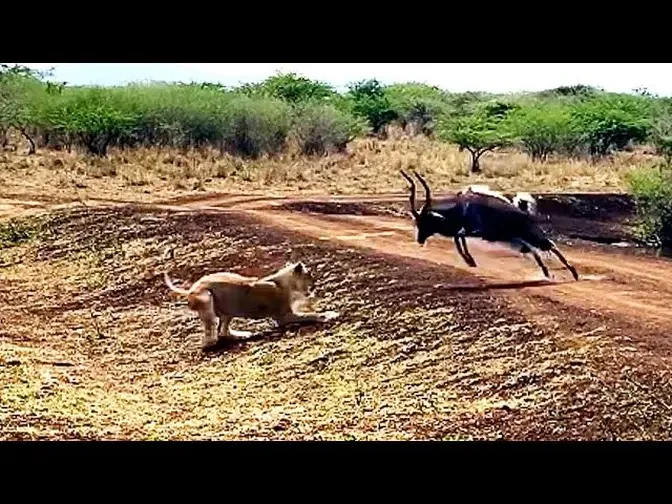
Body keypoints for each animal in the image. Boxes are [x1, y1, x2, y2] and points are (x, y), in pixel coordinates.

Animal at [400, 168, 576, 280]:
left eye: (426, 220)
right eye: (418, 222)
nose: (420, 240)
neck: (461, 208)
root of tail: (524, 212)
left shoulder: (474, 230)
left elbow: (458, 237)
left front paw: (470, 261)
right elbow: (459, 238)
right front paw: (470, 261)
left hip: (527, 235)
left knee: (549, 245)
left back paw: (573, 273)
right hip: (514, 238)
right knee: (536, 251)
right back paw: (548, 273)